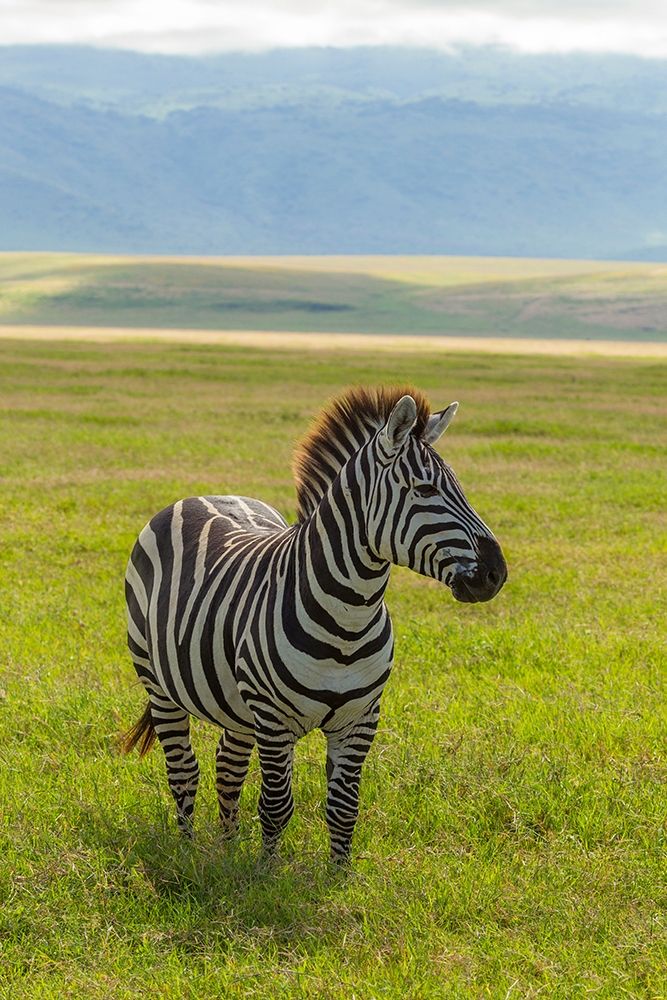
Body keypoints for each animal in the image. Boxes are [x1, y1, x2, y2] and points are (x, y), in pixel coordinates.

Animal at [122, 386, 508, 864]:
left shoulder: (361, 719)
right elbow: (276, 805)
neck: (348, 619)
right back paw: (189, 851)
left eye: (459, 487)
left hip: (235, 705)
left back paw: (226, 851)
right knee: (183, 770)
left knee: (227, 770)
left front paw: (337, 874)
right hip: (158, 684)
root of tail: (200, 496)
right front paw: (265, 874)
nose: (496, 573)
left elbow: (344, 807)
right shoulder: (273, 719)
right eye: (425, 489)